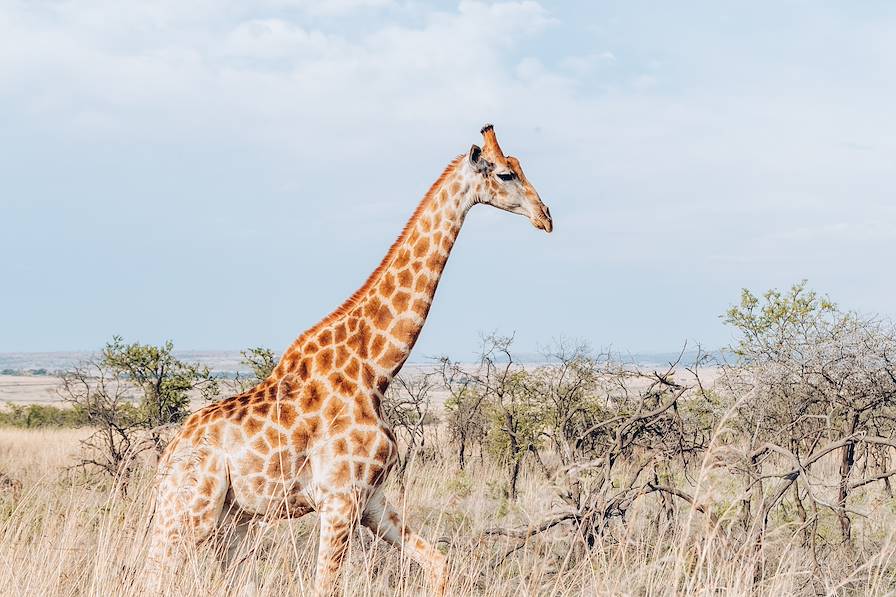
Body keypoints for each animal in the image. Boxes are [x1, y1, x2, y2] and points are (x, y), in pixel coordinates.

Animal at [145, 123, 552, 592]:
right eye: (506, 173)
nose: (546, 216)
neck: (375, 369)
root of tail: (166, 460)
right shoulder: (339, 500)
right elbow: (326, 585)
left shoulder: (371, 498)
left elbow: (439, 562)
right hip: (189, 511)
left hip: (234, 519)